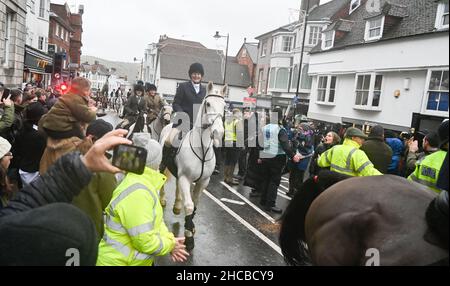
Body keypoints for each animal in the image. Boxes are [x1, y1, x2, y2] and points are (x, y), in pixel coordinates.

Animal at [160, 82, 227, 250]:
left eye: (224, 105)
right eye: (208, 103)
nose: (218, 132)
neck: (202, 148)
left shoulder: (203, 181)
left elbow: (195, 204)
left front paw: (190, 226)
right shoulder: (186, 178)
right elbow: (190, 205)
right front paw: (189, 238)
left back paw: (177, 206)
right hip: (163, 165)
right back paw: (162, 200)